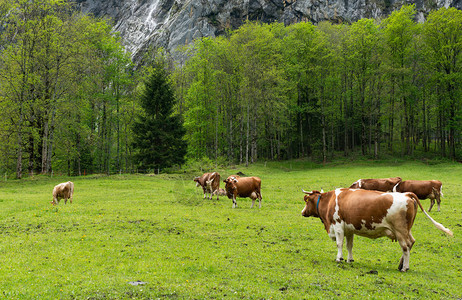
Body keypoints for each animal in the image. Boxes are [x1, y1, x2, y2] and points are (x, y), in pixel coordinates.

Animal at [302, 190, 452, 272]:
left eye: (307, 201)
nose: (302, 212)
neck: (330, 201)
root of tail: (406, 194)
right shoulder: (349, 229)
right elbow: (349, 245)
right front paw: (350, 259)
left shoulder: (338, 226)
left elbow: (339, 244)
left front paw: (339, 258)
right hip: (407, 230)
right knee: (412, 243)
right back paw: (400, 264)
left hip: (401, 231)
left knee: (406, 247)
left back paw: (405, 267)